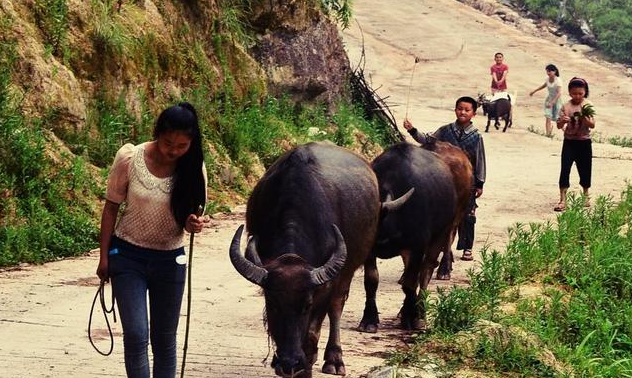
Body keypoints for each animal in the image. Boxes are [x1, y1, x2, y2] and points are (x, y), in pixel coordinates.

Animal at [228, 141, 410, 376]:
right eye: (273, 304)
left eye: (307, 305)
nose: (289, 362)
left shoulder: (325, 287)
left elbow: (313, 331)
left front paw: (307, 363)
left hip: (348, 270)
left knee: (337, 307)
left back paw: (334, 359)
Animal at [358, 143, 456, 332]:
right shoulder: (370, 252)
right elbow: (371, 281)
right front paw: (369, 319)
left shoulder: (417, 247)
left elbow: (410, 283)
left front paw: (412, 317)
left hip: (440, 234)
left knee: (425, 273)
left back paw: (420, 314)